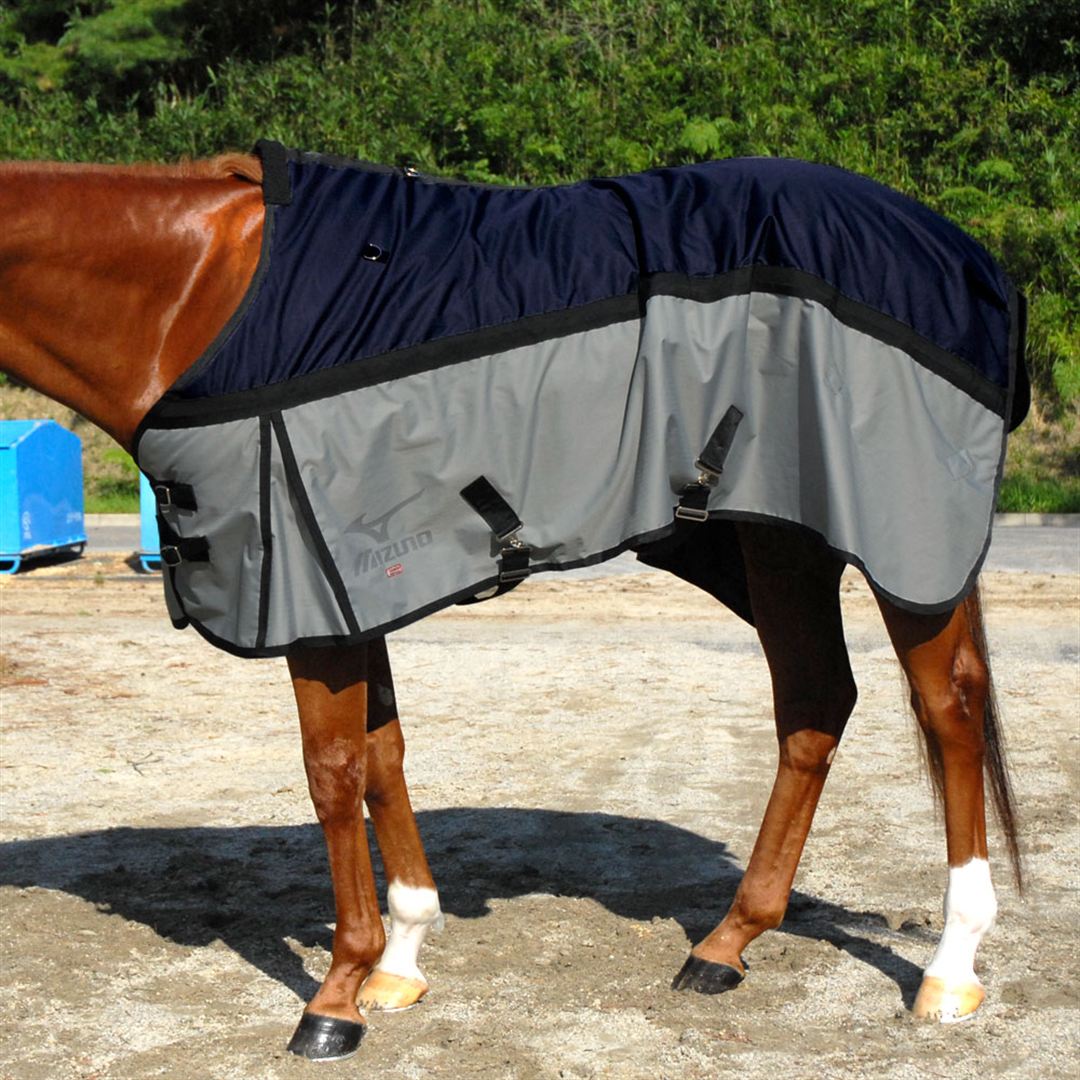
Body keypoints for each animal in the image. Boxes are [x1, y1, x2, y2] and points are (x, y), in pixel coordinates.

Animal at [0, 146, 1025, 1061]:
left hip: (905, 542)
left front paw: (336, 996)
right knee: (815, 703)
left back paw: (950, 968)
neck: (195, 294)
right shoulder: (351, 591)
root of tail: (960, 255)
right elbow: (382, 755)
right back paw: (726, 944)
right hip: (780, 537)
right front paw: (402, 958)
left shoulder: (309, 593)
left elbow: (333, 772)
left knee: (948, 711)